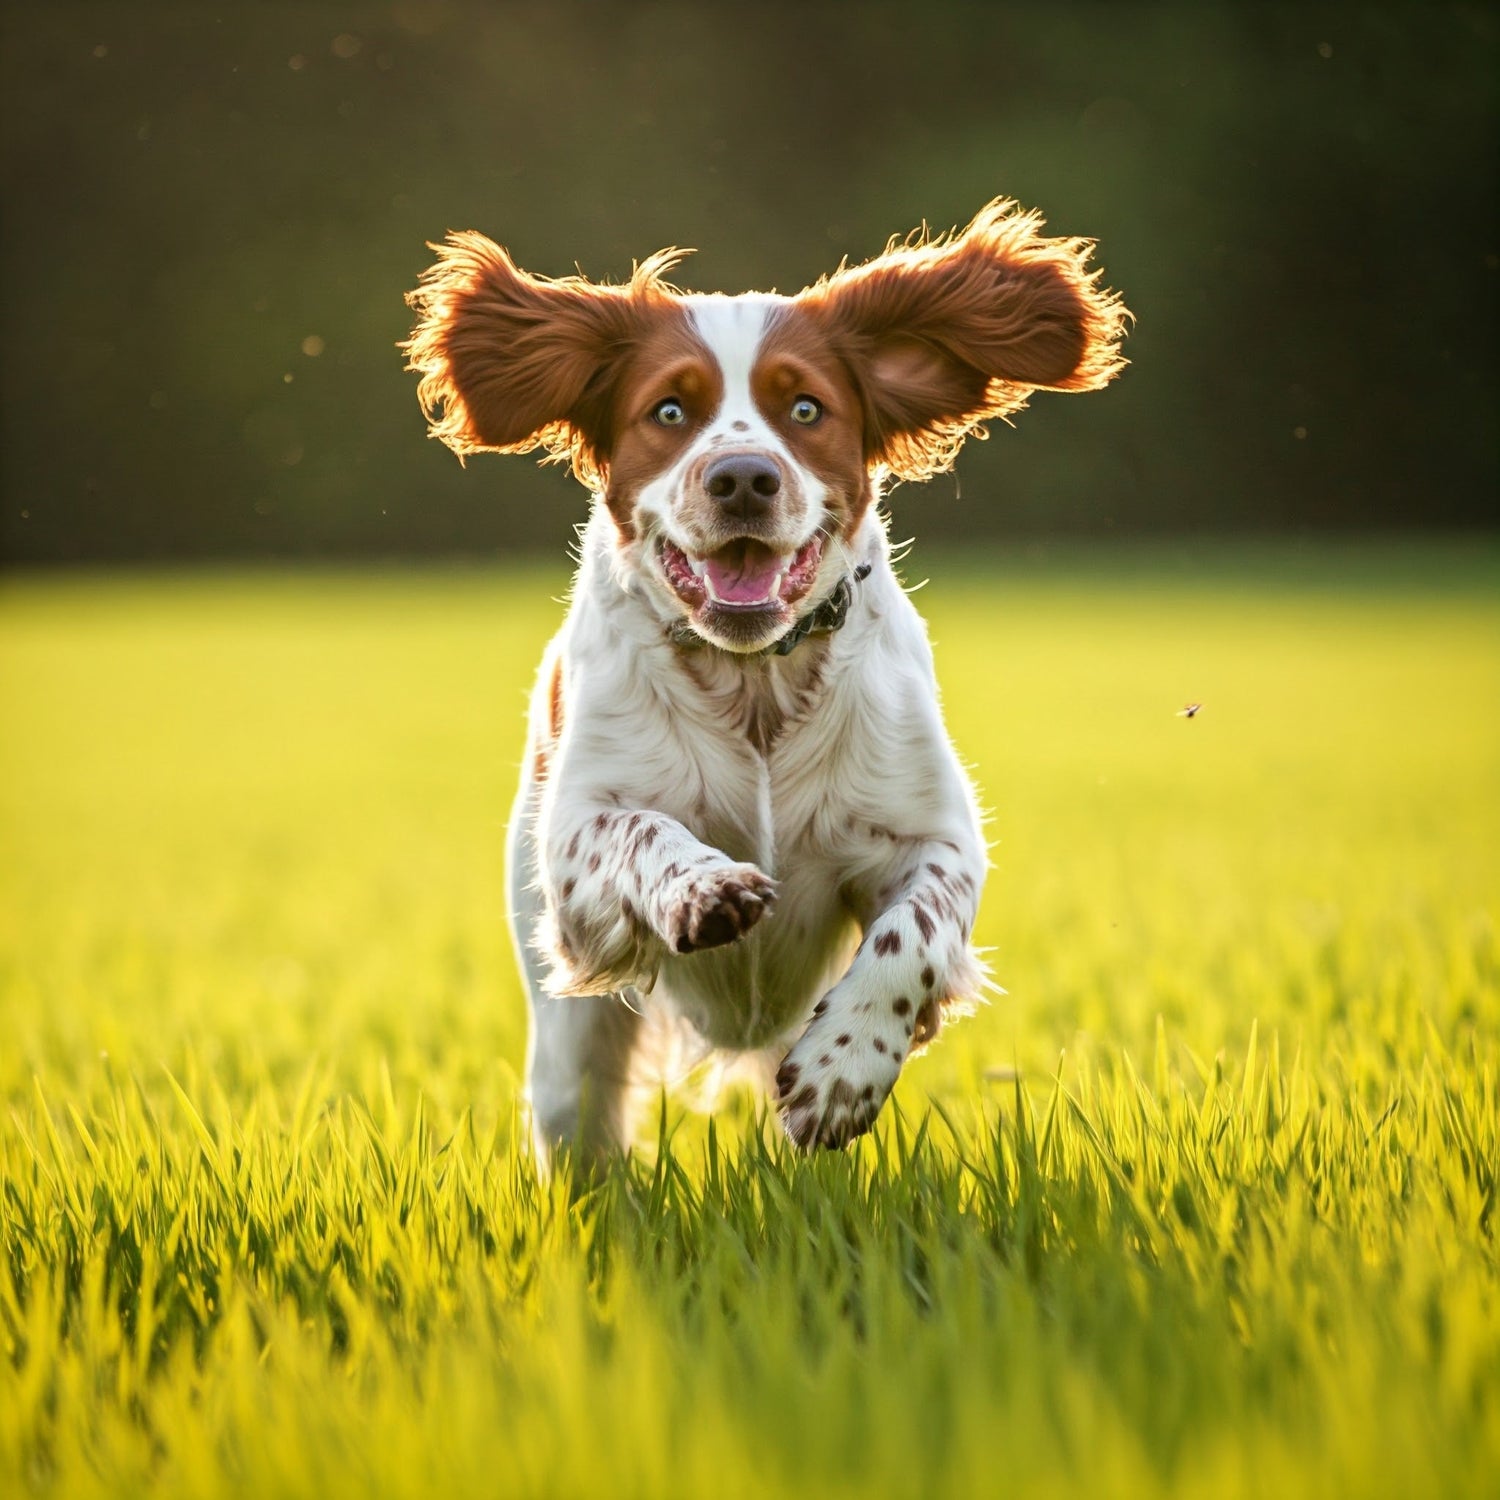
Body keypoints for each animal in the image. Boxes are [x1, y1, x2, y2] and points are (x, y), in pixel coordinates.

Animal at [402, 199, 1128, 1164]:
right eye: (669, 410)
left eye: (807, 408)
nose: (743, 477)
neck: (753, 682)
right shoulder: (573, 850)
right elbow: (643, 830)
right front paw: (706, 888)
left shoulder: (932, 835)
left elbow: (913, 935)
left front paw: (842, 1069)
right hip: (566, 1053)